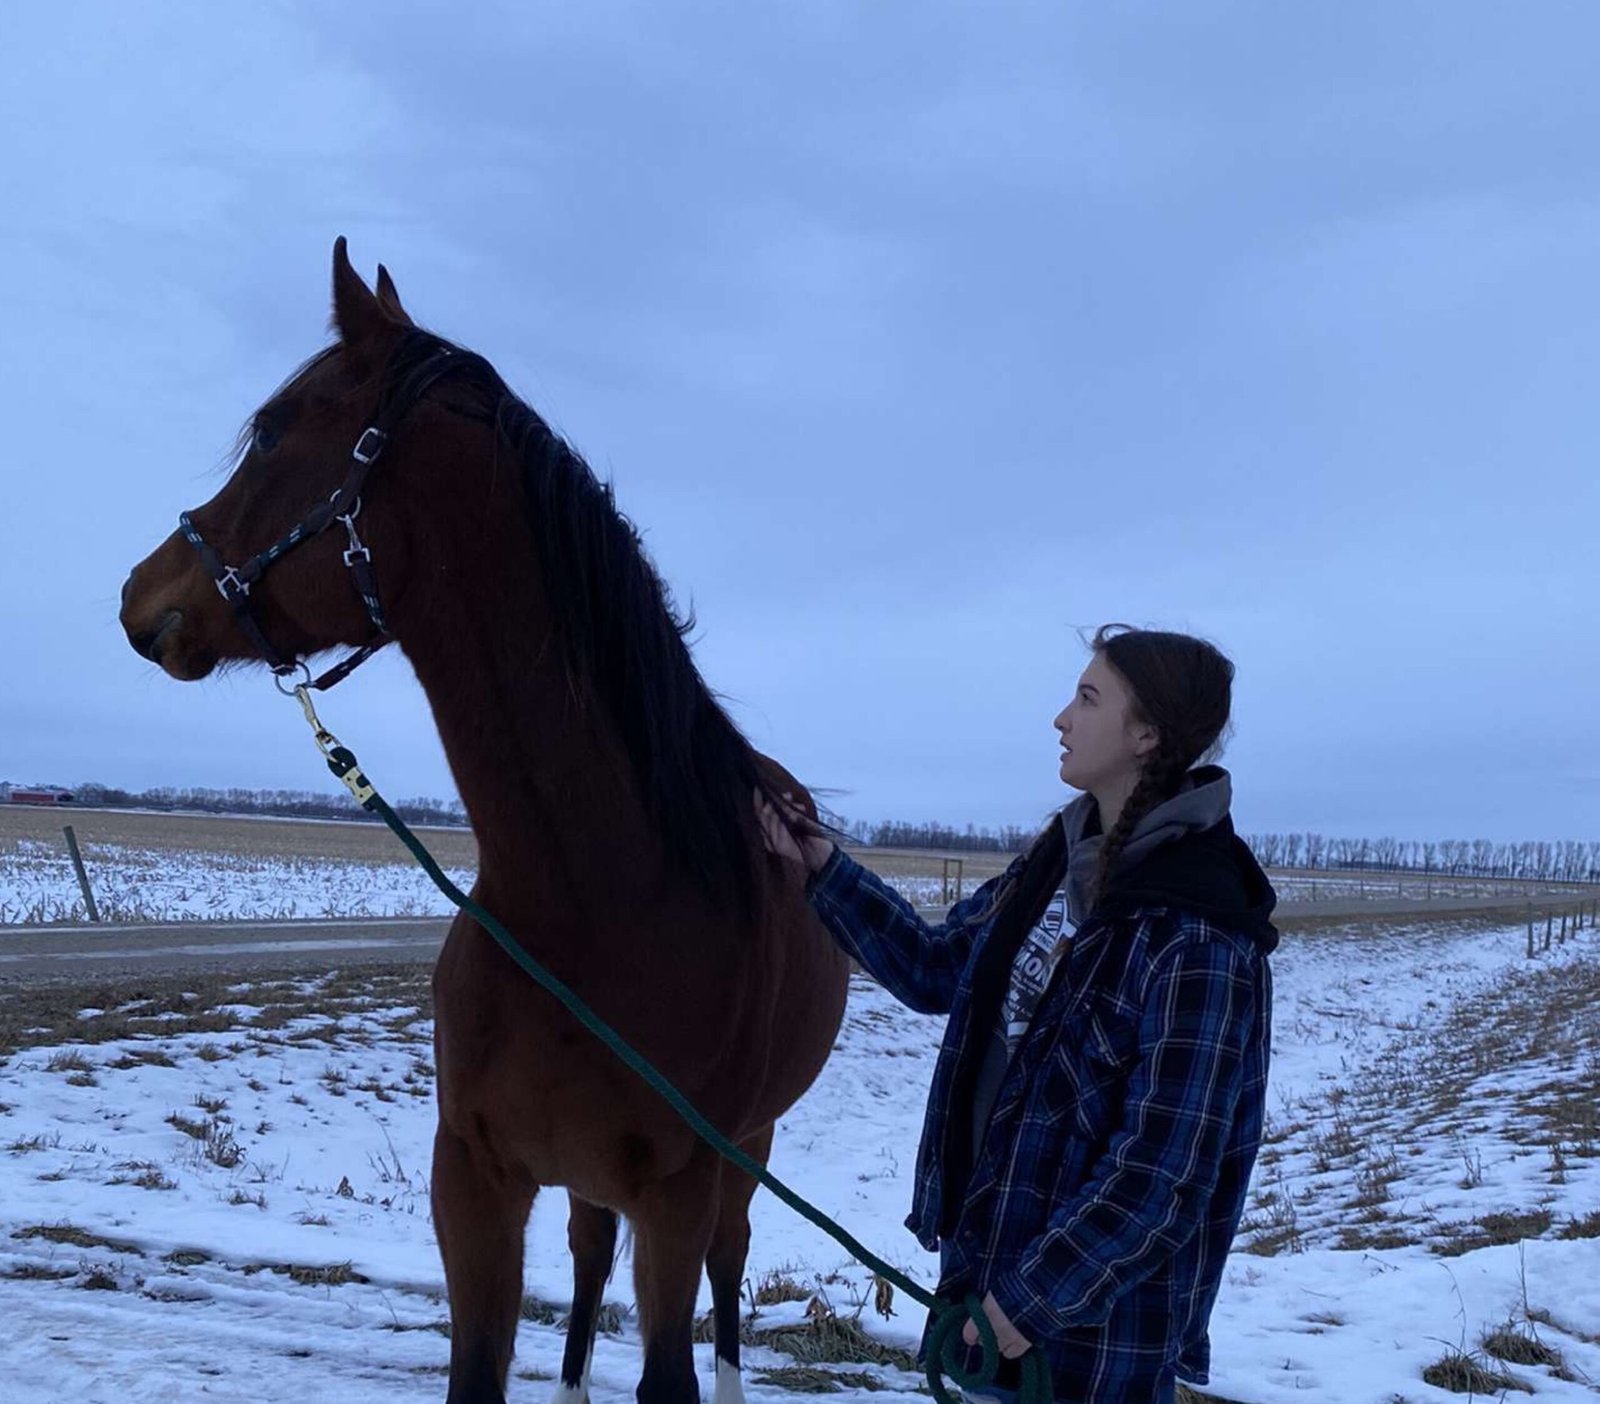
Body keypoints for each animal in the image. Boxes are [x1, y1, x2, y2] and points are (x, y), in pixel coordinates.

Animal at [119, 240, 851, 1404]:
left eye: (273, 429)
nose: (141, 595)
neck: (592, 905)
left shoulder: (681, 1193)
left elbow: (674, 1355)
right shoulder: (471, 1178)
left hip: (751, 1148)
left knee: (728, 1263)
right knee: (590, 1255)